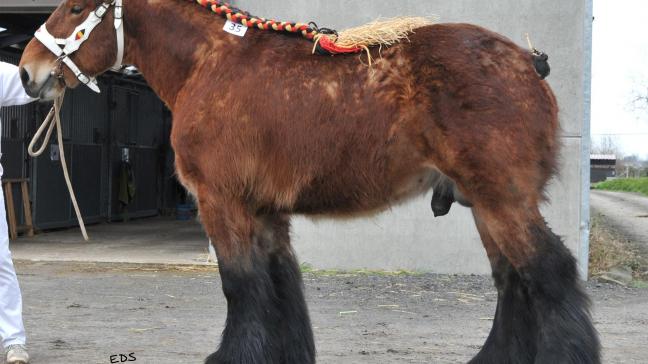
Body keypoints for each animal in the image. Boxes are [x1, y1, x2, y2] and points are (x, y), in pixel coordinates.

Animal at [19, 0, 596, 364]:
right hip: (487, 204)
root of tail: (527, 61)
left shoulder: (221, 203)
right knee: (513, 280)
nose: (27, 72)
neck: (209, 63)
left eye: (76, 8)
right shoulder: (264, 211)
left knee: (547, 272)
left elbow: (241, 285)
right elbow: (280, 286)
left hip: (504, 200)